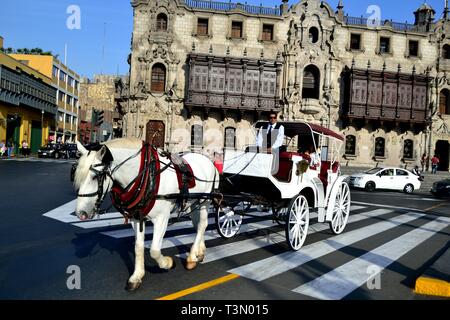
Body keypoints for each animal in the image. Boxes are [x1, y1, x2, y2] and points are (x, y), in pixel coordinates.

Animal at [74, 138, 220, 290]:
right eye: (76, 175)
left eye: (95, 177)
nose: (81, 213)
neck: (146, 174)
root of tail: (208, 160)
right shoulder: (137, 218)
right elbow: (138, 247)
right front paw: (136, 276)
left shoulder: (162, 218)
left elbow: (154, 250)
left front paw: (168, 263)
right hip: (193, 202)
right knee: (198, 225)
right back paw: (200, 252)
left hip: (205, 201)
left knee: (202, 224)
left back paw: (191, 257)